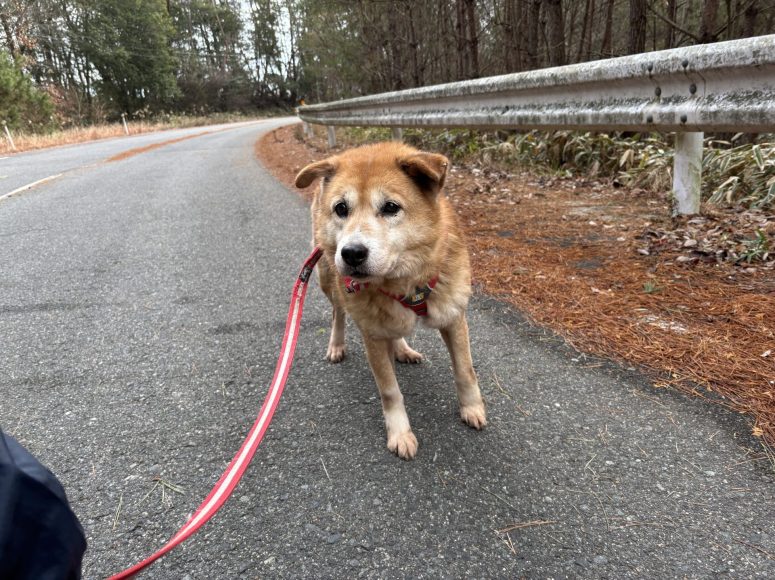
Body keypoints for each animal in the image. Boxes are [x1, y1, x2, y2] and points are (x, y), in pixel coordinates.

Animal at [295, 141, 486, 459]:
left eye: (391, 208)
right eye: (341, 208)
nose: (352, 253)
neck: (403, 282)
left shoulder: (453, 316)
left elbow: (465, 370)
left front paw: (472, 408)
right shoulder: (372, 335)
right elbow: (390, 390)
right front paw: (400, 432)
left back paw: (403, 349)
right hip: (326, 277)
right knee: (338, 314)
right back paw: (337, 344)